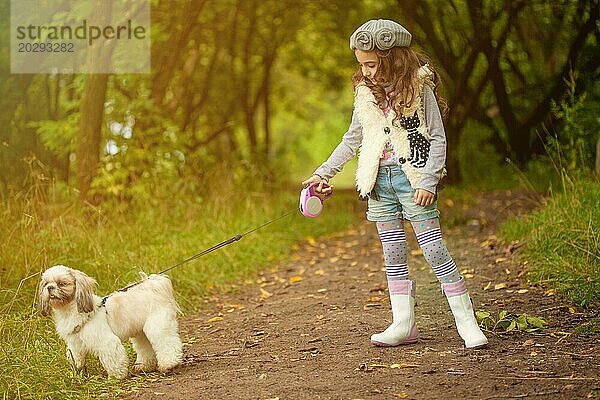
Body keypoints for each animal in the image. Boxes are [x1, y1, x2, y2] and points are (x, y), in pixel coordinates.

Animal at [38, 266, 182, 378]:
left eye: (61, 283)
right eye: (46, 283)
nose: (50, 288)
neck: (70, 310)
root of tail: (154, 288)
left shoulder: (106, 341)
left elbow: (113, 358)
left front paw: (116, 376)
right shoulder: (75, 343)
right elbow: (75, 356)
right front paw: (77, 370)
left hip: (157, 326)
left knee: (167, 343)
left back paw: (169, 364)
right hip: (140, 331)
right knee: (145, 347)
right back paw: (144, 366)